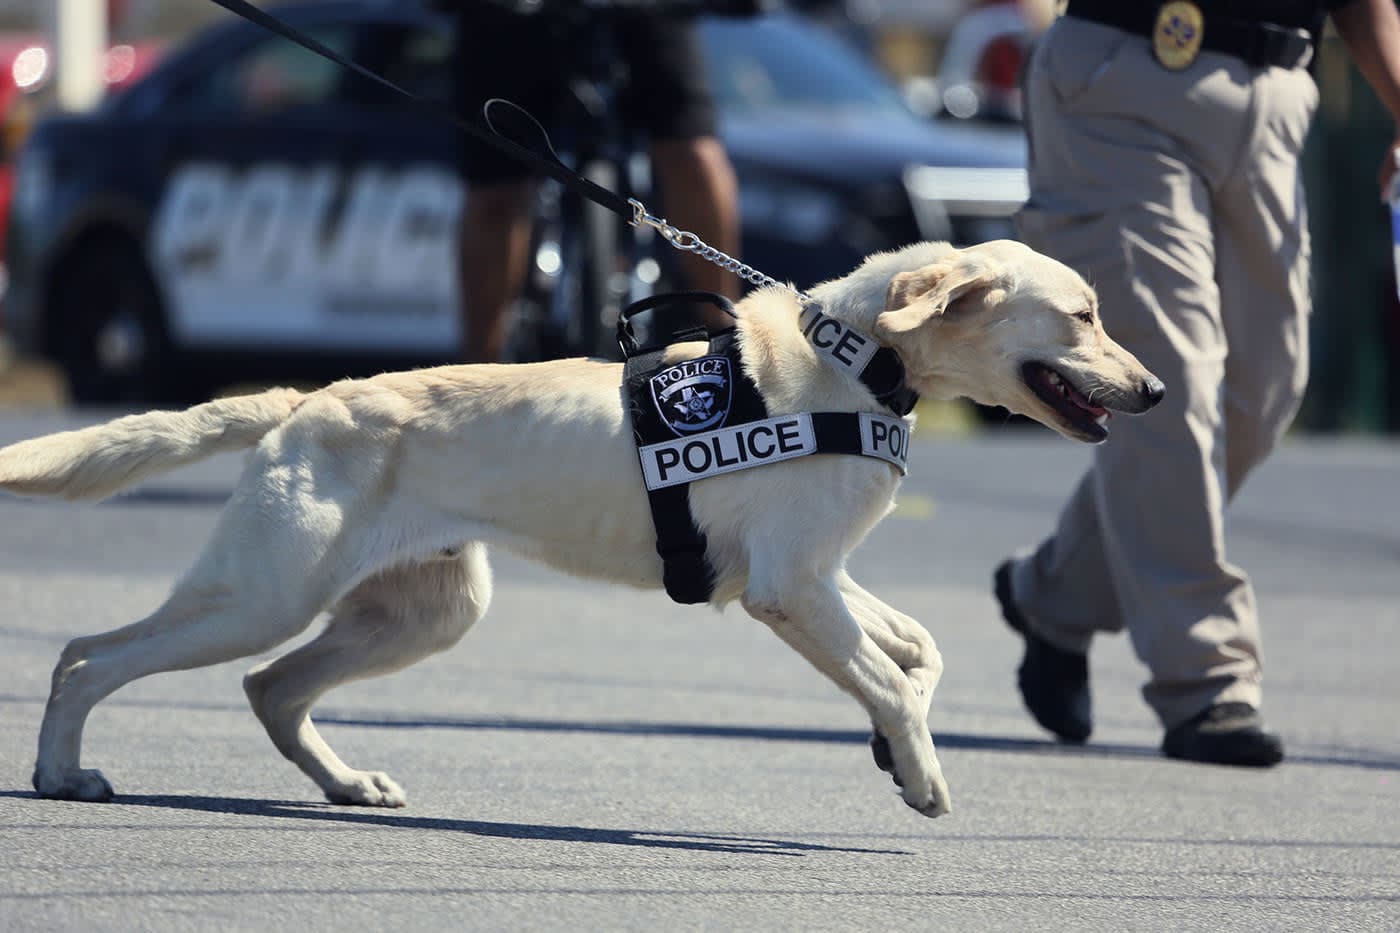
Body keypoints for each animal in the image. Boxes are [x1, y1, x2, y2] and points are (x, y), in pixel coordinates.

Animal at [2, 238, 1159, 812]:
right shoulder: (791, 587)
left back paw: (346, 783)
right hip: (261, 592)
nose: (1152, 391)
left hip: (422, 612)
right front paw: (918, 775)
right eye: (1085, 316)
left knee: (270, 688)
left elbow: (914, 655)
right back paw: (62, 774)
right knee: (86, 656)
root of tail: (307, 398)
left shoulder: (816, 577)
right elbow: (890, 677)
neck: (856, 359)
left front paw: (892, 744)